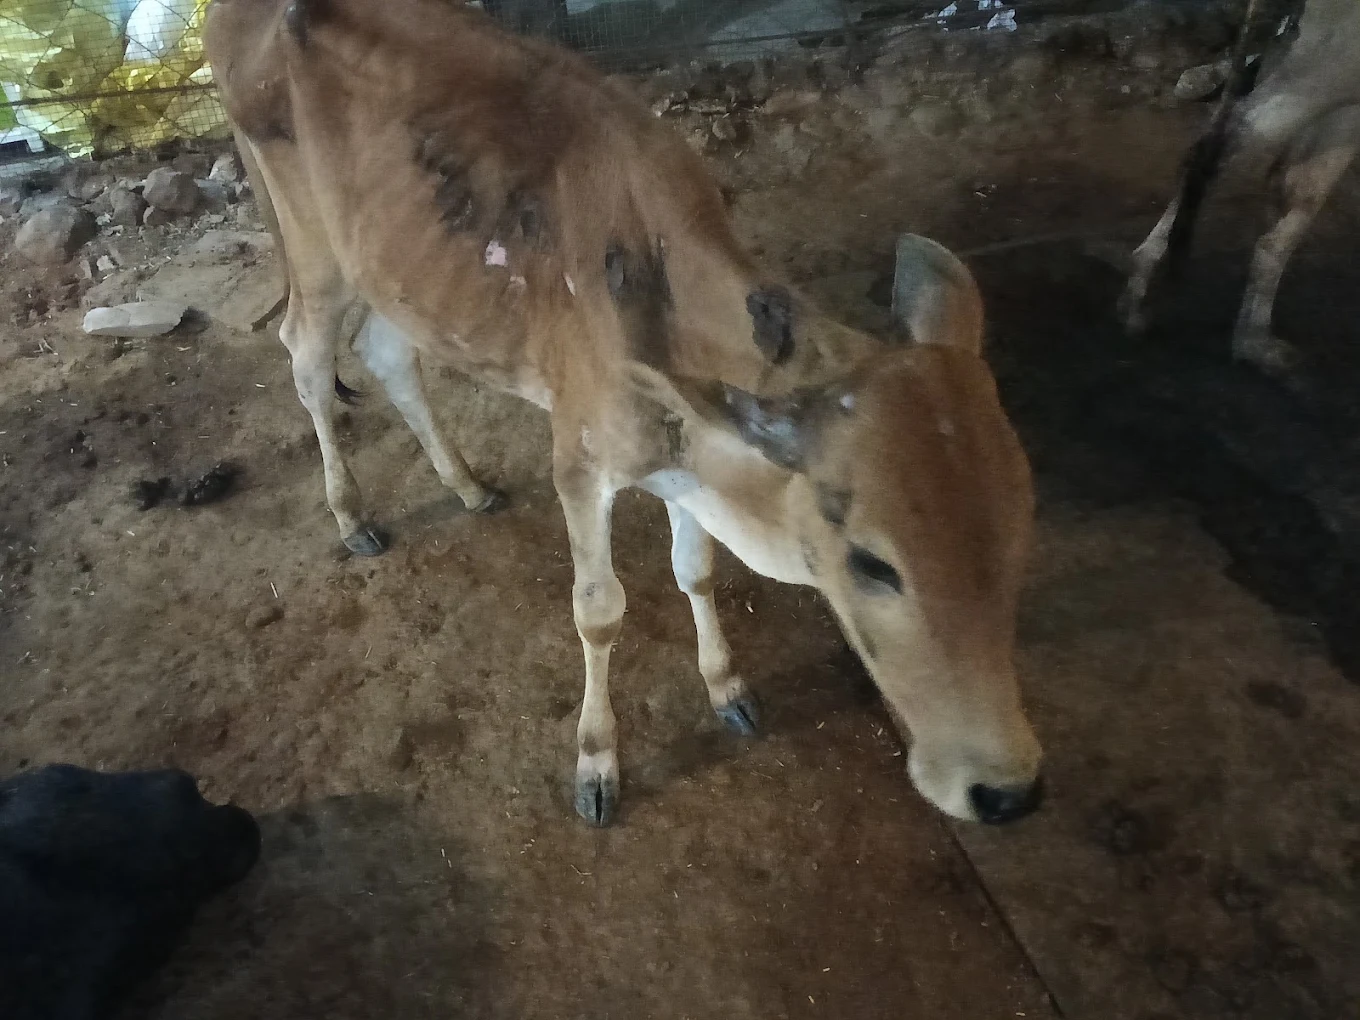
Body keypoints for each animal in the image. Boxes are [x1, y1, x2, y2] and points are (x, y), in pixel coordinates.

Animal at [204, 0, 1044, 827]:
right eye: (872, 562)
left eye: (1019, 532)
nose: (1008, 791)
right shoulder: (579, 459)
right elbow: (599, 611)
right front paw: (596, 763)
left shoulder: (687, 451)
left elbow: (695, 571)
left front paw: (727, 688)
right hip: (315, 255)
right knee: (308, 361)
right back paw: (352, 515)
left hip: (391, 271)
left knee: (387, 356)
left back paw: (467, 485)